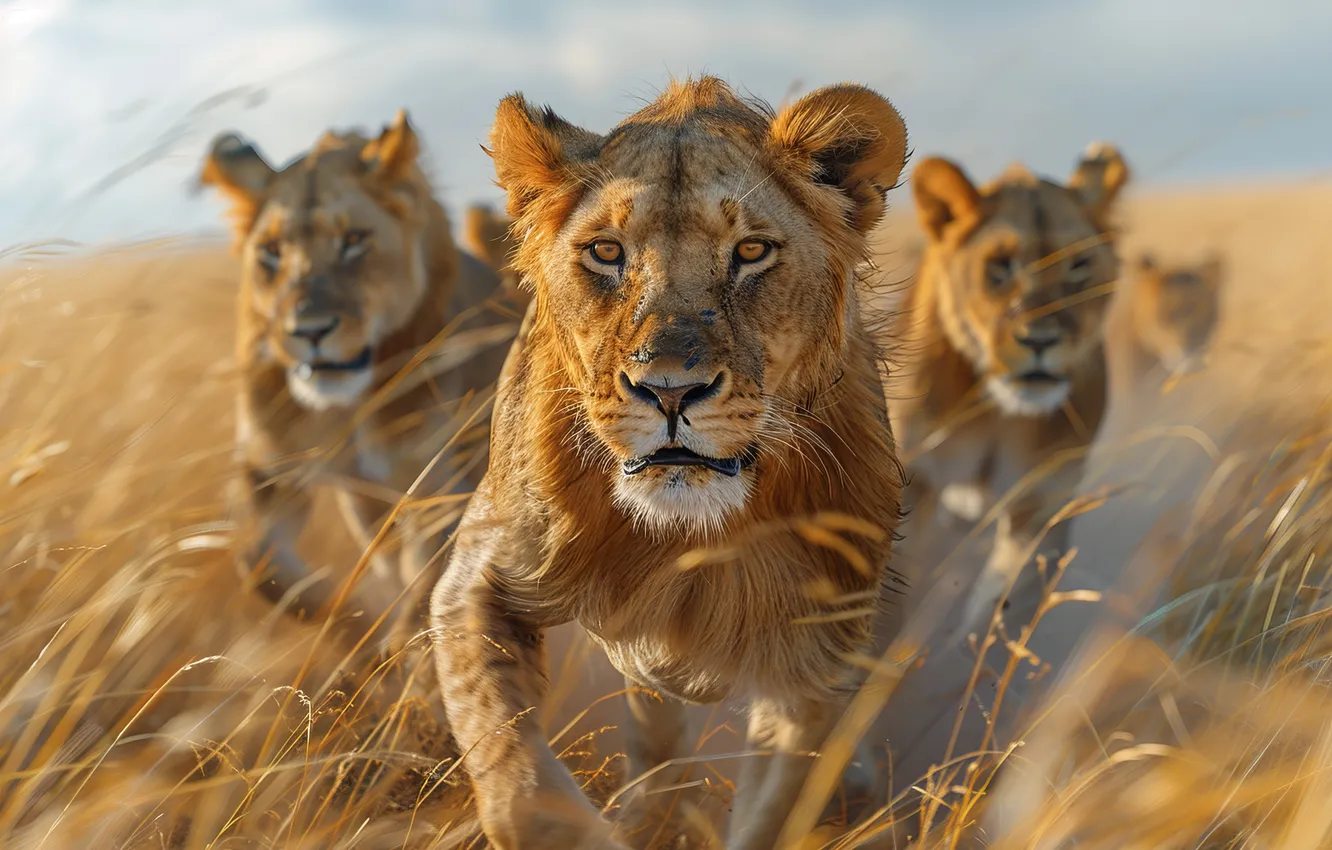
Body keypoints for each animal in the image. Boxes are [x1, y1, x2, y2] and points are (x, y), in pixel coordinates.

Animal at [199, 110, 520, 645]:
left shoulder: (441, 489)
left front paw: (399, 652)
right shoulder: (271, 469)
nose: (309, 330)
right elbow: (260, 563)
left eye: (353, 241)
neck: (347, 408)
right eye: (271, 252)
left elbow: (425, 592)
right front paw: (354, 629)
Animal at [429, 77, 908, 849]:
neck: (687, 536)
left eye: (751, 250)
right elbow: (521, 790)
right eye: (605, 251)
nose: (670, 390)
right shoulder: (480, 574)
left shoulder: (814, 655)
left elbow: (778, 806)